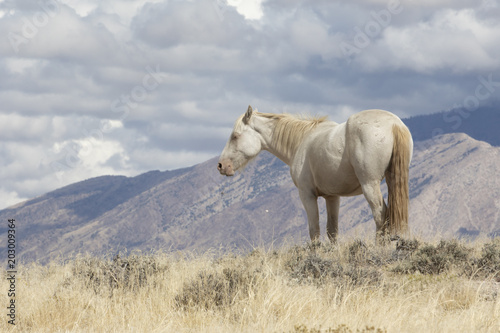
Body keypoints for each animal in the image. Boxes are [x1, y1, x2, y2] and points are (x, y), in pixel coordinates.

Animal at [217, 105, 412, 241]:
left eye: (235, 136)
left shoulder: (307, 195)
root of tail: (394, 124)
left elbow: (314, 230)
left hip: (370, 185)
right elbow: (332, 231)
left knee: (380, 215)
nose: (221, 165)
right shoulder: (332, 197)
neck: (301, 141)